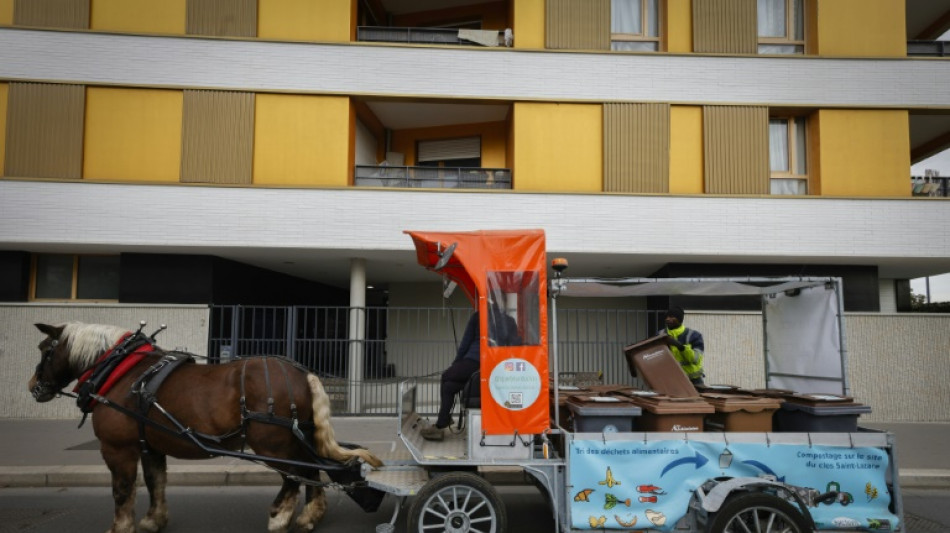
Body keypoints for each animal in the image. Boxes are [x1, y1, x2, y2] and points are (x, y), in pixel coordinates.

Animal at [27, 320, 384, 532]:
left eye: (45, 350)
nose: (33, 386)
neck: (122, 371)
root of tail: (301, 371)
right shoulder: (150, 444)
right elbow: (156, 481)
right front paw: (153, 520)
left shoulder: (118, 449)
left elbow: (122, 489)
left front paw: (121, 527)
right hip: (296, 436)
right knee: (310, 469)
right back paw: (309, 516)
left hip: (271, 442)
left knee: (293, 475)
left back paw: (280, 516)